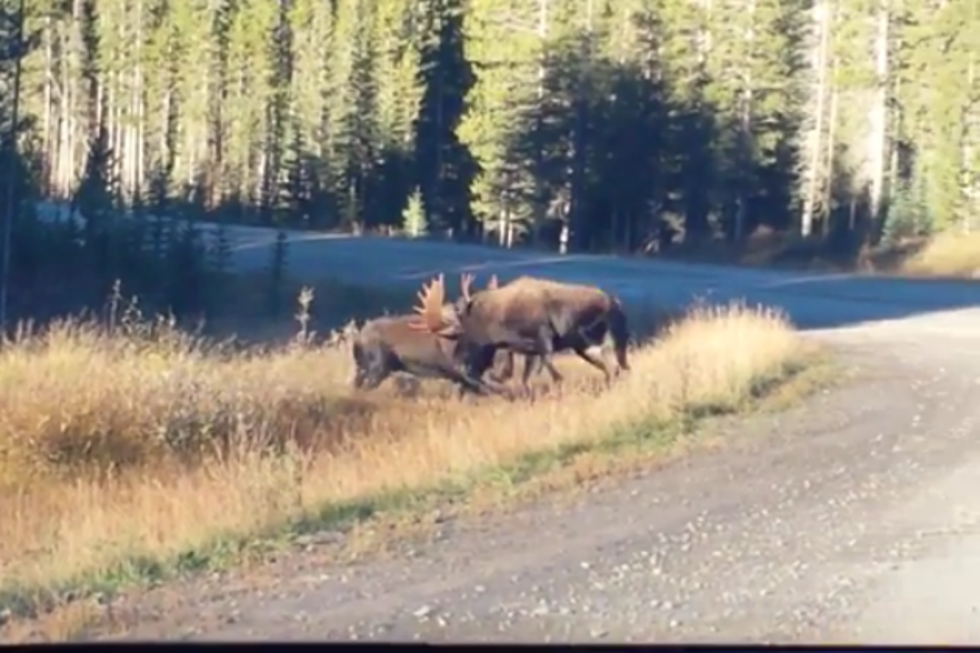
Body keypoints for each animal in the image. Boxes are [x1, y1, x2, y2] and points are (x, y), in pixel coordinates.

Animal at [410, 268, 632, 392]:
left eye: (461, 332)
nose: (456, 361)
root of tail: (618, 303)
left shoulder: (543, 336)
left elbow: (551, 371)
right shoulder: (526, 349)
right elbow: (523, 377)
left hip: (602, 339)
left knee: (615, 366)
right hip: (585, 346)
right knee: (613, 368)